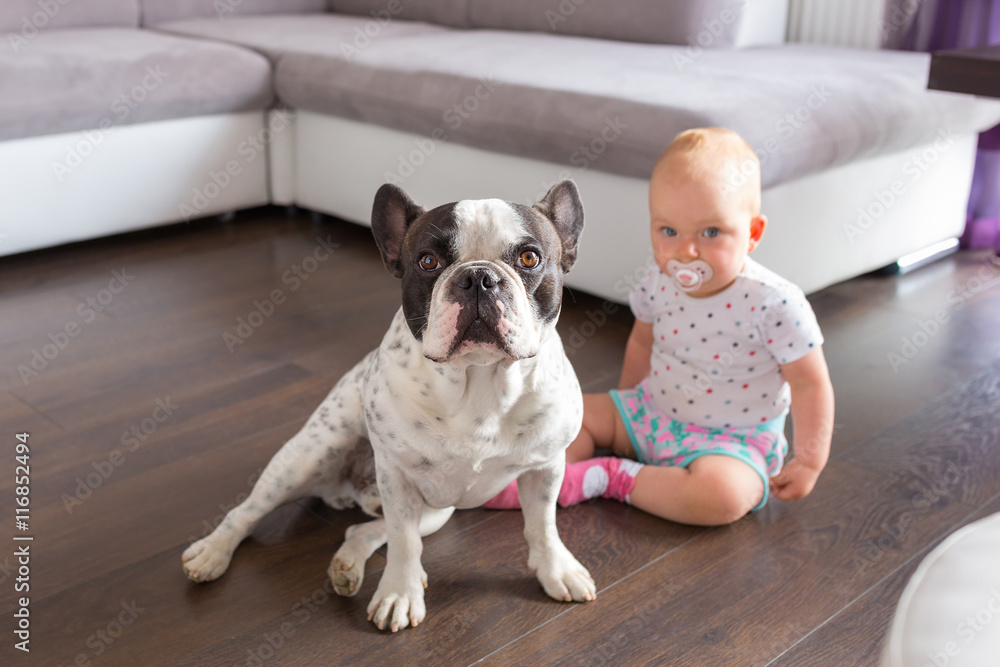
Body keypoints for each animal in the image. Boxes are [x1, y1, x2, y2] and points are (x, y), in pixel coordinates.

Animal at [182, 181, 592, 632]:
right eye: (428, 261)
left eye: (529, 258)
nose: (478, 277)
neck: (479, 380)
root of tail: (346, 491)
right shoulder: (397, 477)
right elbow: (403, 540)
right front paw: (400, 593)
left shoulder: (545, 468)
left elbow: (543, 525)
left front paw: (557, 570)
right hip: (303, 459)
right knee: (247, 512)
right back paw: (212, 552)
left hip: (437, 512)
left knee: (361, 531)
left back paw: (347, 567)